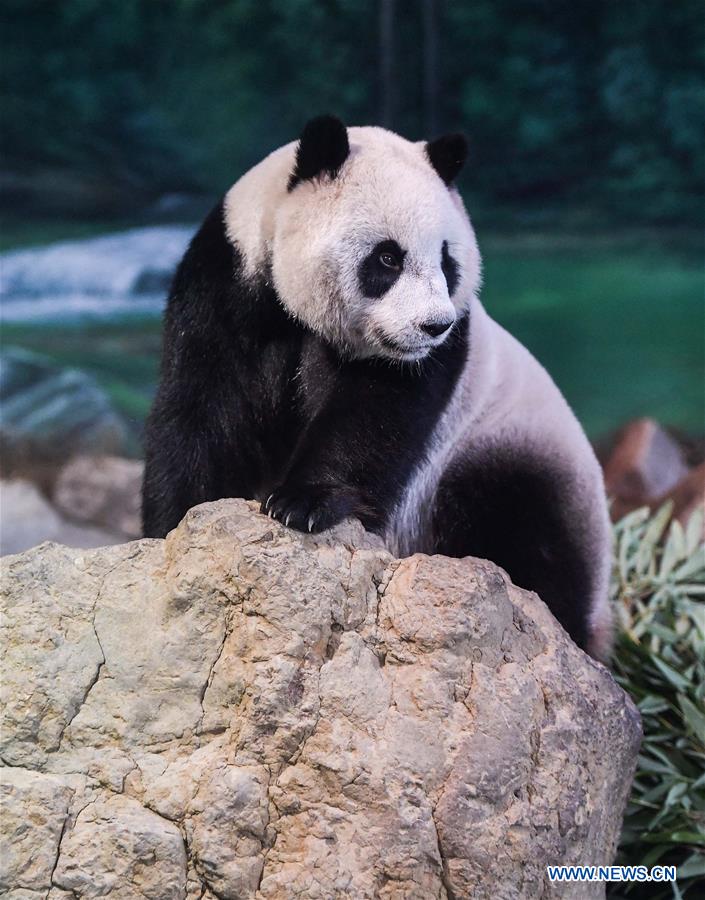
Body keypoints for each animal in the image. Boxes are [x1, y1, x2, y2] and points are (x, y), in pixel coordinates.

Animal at [142, 115, 613, 660]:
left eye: (448, 262)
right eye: (388, 258)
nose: (433, 325)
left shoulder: (440, 358)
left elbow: (374, 418)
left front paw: (303, 503)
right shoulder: (225, 286)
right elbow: (202, 411)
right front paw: (173, 526)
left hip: (507, 450)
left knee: (527, 536)